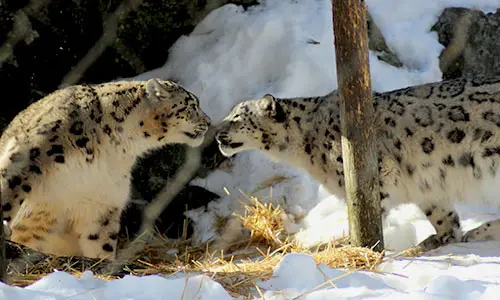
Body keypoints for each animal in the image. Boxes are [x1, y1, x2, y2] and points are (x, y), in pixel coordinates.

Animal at [0, 78, 211, 258]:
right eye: (192, 105)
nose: (208, 122)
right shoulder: (31, 155)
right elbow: (9, 190)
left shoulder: (102, 199)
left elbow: (100, 240)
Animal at [216, 75, 500, 251]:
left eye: (237, 116)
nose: (216, 132)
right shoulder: (428, 185)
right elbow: (442, 214)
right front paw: (440, 238)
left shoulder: (373, 177)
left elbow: (364, 215)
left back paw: (481, 230)